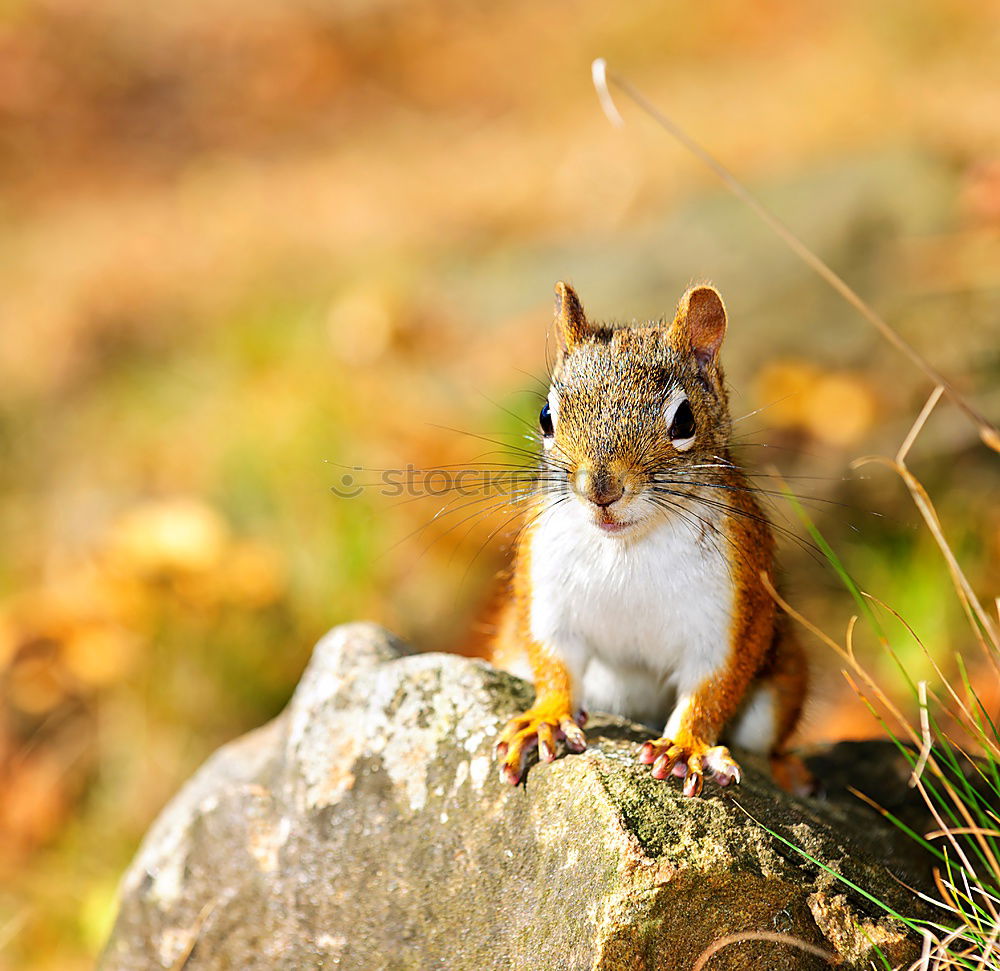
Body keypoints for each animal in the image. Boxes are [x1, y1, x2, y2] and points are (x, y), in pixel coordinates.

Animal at [492, 282, 812, 796]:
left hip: (780, 686)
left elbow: (713, 686)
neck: (627, 546)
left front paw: (684, 746)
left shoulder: (735, 607)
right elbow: (554, 659)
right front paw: (546, 718)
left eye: (684, 422)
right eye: (545, 417)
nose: (601, 490)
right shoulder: (546, 586)